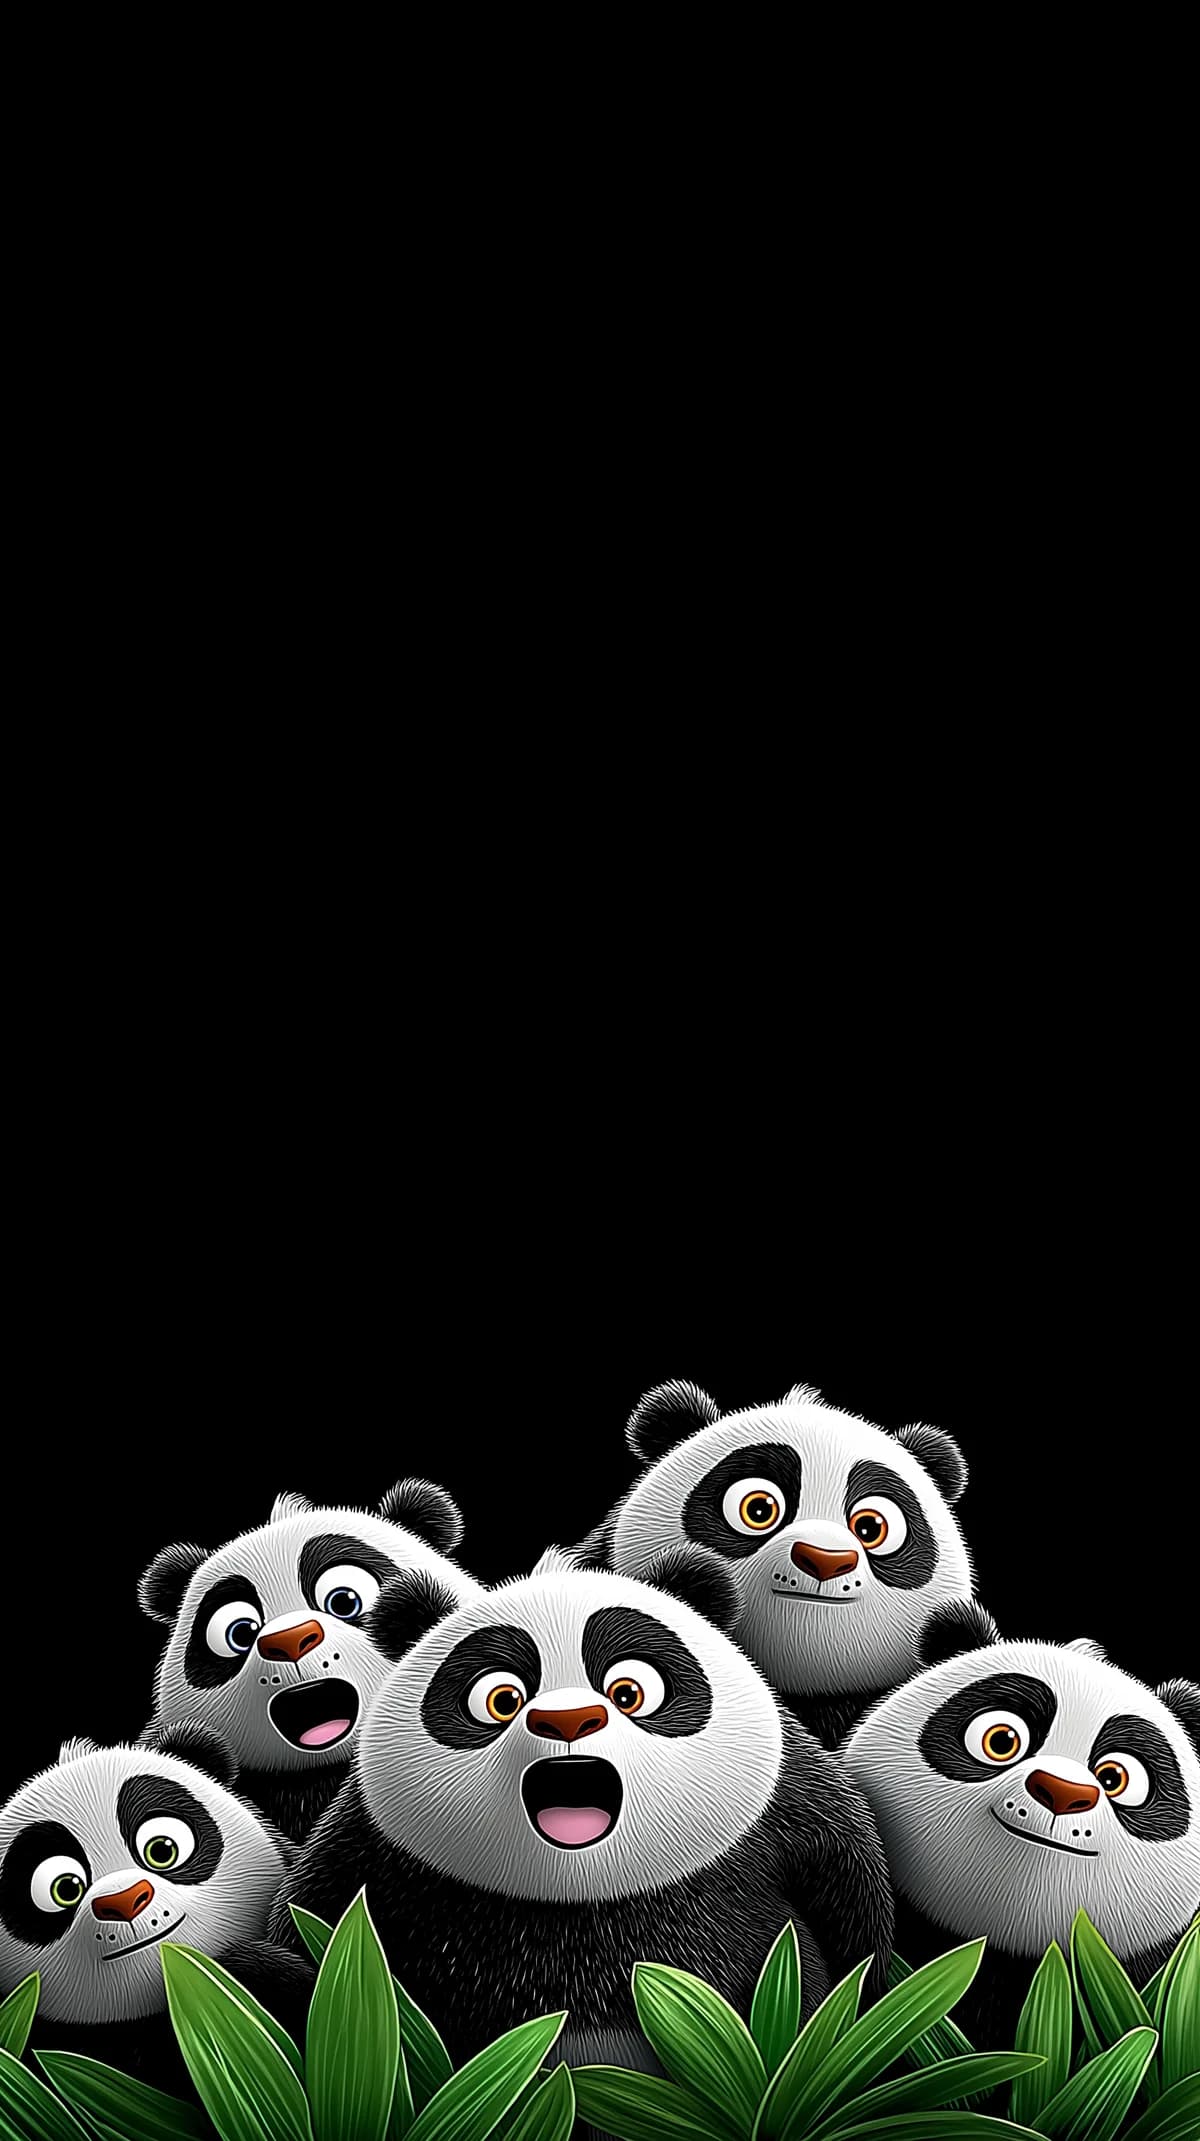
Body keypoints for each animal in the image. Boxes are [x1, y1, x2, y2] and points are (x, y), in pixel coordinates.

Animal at [269, 1546, 895, 2079]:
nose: (567, 1721)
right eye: (500, 1699)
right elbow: (308, 1929)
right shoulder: (373, 1845)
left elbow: (850, 1893)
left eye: (629, 1692)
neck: (581, 1892)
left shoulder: (777, 1802)